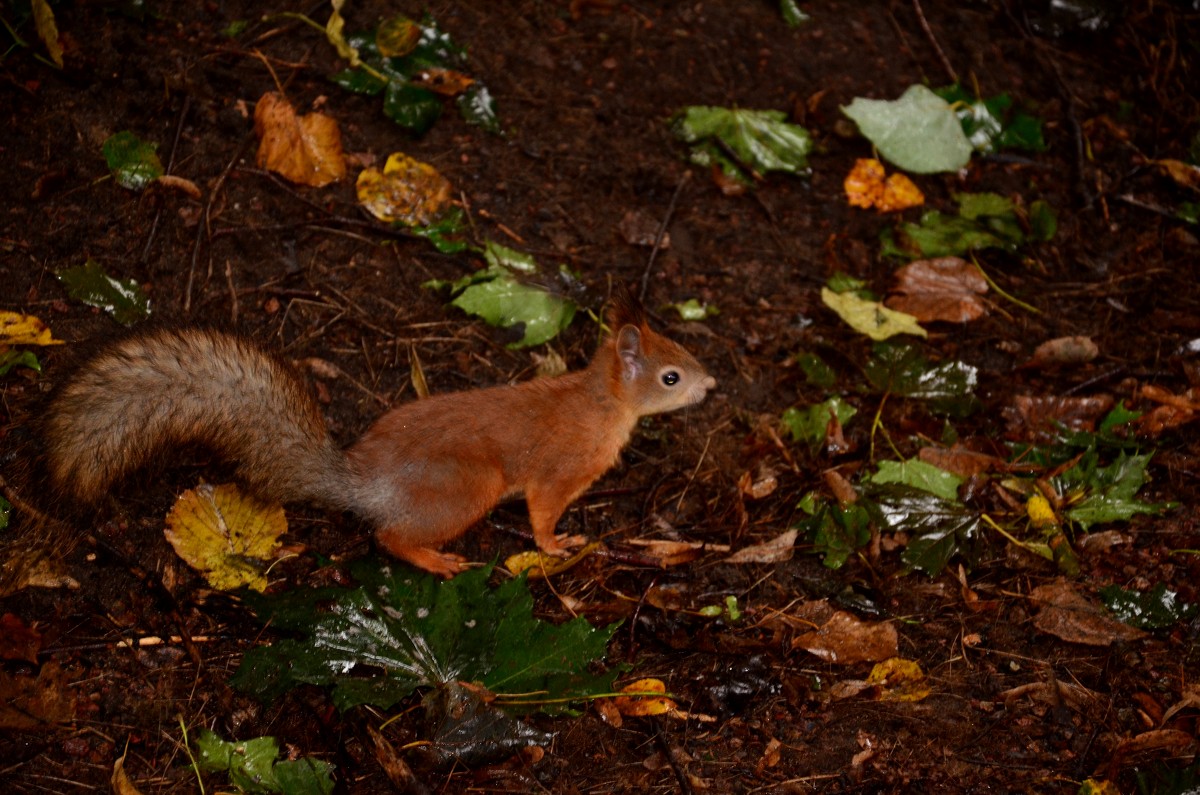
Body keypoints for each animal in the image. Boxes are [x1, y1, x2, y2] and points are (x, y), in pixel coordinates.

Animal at [42, 289, 715, 576]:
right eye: (671, 376)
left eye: (683, 349)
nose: (712, 384)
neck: (601, 402)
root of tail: (363, 481)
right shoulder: (558, 473)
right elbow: (544, 513)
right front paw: (556, 546)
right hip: (470, 486)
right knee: (390, 538)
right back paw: (439, 562)